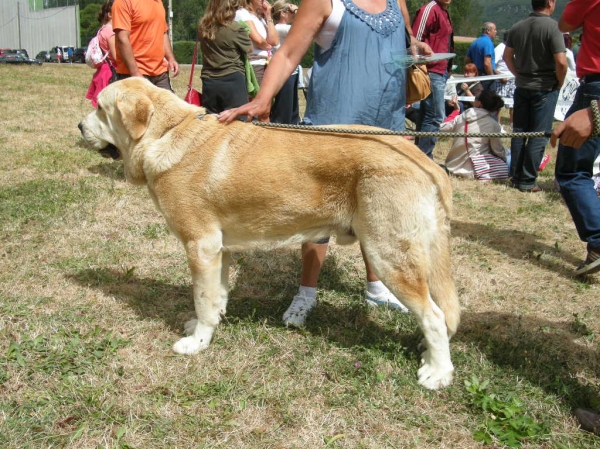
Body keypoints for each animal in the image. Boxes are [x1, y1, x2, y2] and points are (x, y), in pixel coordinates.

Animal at [79, 77, 462, 388]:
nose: (80, 126)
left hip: (388, 255)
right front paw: (210, 325)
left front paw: (197, 342)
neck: (166, 132)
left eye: (100, 107)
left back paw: (438, 372)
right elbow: (215, 296)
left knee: (434, 316)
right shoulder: (219, 249)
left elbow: (201, 299)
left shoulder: (200, 246)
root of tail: (423, 158)